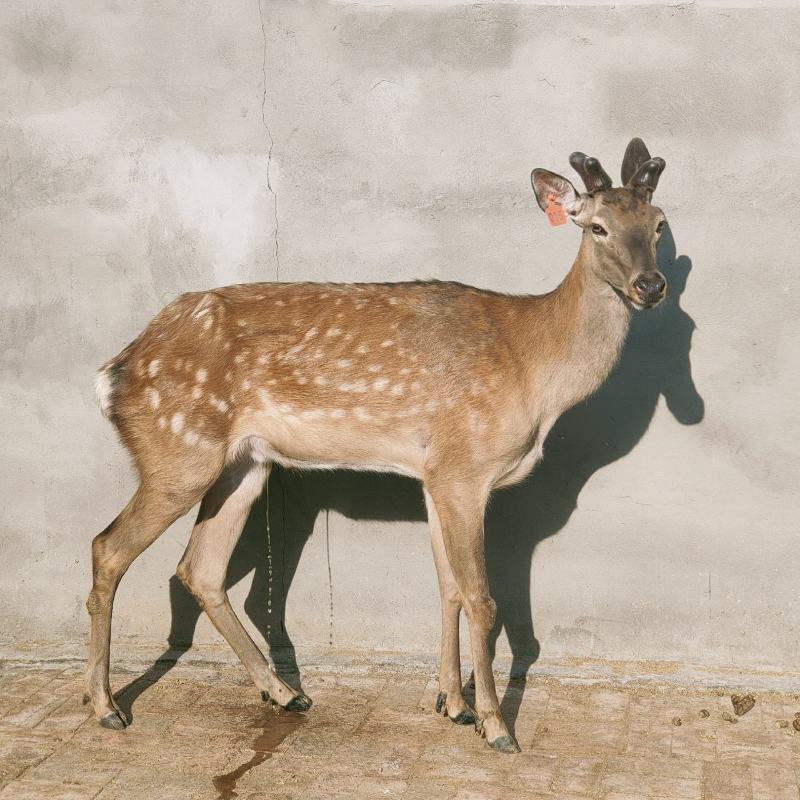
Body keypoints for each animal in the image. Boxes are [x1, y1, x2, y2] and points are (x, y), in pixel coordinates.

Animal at [86, 138, 667, 753]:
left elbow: (449, 587)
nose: (650, 286)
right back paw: (105, 706)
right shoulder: (465, 467)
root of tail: (113, 373)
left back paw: (284, 692)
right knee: (109, 548)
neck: (534, 368)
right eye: (597, 227)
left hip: (243, 464)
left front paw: (451, 703)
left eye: (658, 223)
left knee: (199, 569)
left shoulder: (436, 474)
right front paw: (495, 725)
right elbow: (483, 599)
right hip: (177, 451)